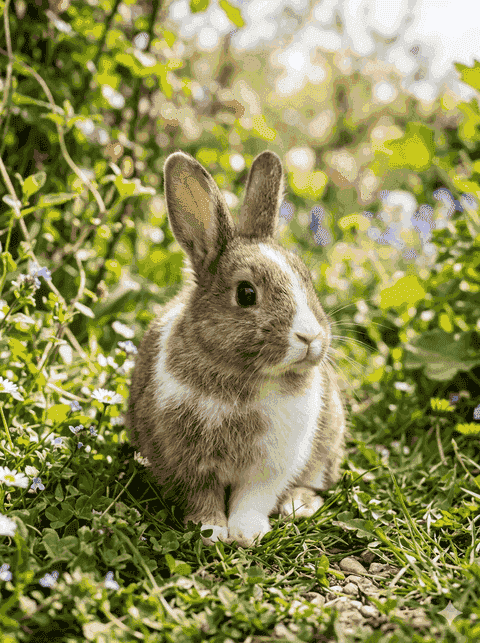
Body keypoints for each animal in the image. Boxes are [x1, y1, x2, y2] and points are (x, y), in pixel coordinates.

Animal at [127, 150, 346, 547]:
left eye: (306, 279)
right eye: (246, 294)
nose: (310, 338)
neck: (244, 376)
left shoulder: (271, 464)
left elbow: (253, 497)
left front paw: (247, 532)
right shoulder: (187, 461)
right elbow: (201, 496)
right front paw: (211, 530)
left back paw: (298, 505)